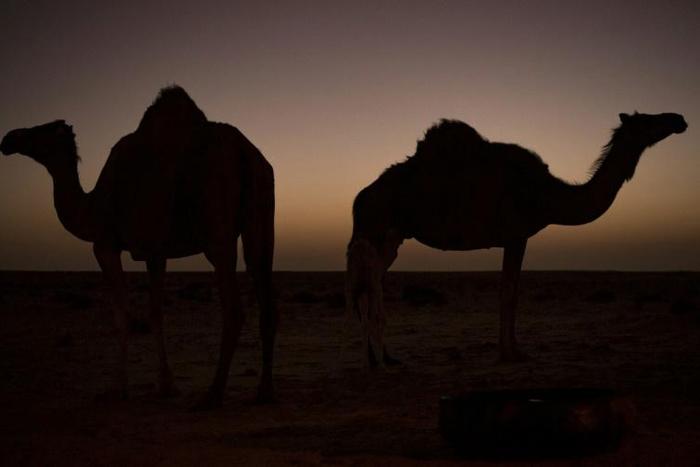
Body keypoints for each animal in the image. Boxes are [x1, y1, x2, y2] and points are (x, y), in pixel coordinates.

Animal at [0, 86, 277, 409]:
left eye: (41, 129)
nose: (9, 138)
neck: (93, 206)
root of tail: (246, 153)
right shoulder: (155, 252)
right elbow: (155, 313)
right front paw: (166, 386)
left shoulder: (105, 244)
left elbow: (123, 315)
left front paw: (117, 389)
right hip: (261, 215)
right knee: (265, 292)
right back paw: (264, 391)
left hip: (217, 230)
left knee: (233, 308)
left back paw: (212, 395)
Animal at [346, 112, 687, 367]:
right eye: (647, 120)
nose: (679, 119)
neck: (547, 194)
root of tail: (359, 199)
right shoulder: (516, 234)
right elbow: (509, 293)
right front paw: (511, 353)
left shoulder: (516, 237)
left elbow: (512, 292)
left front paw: (512, 349)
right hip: (376, 231)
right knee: (367, 286)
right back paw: (376, 359)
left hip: (392, 239)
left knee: (370, 284)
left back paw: (386, 357)